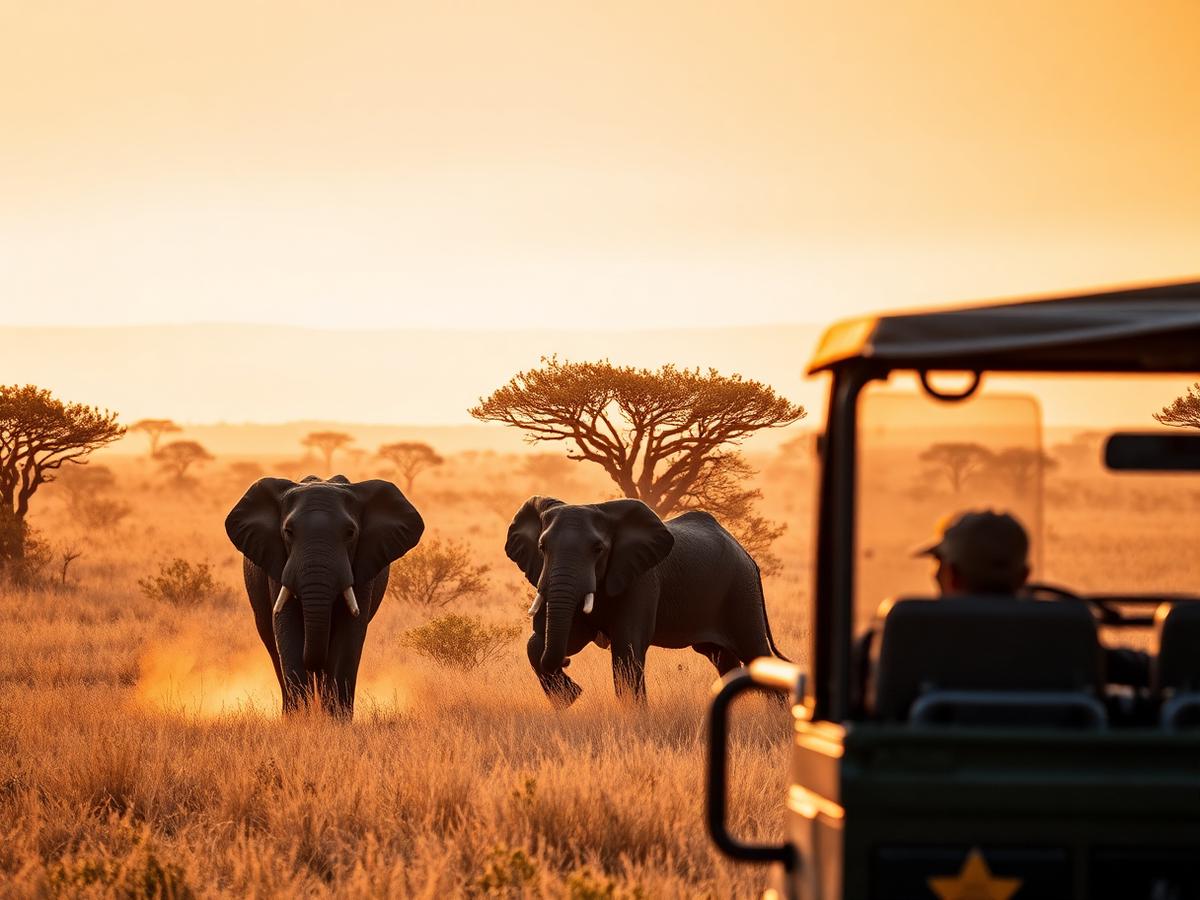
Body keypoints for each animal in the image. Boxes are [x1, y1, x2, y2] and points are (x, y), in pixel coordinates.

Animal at [224, 475, 424, 717]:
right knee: (273, 646)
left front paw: (336, 720)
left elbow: (349, 634)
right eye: (288, 532)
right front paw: (299, 719)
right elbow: (287, 628)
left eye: (350, 533)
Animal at [506, 496, 788, 706]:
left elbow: (627, 648)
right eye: (542, 548)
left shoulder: (642, 580)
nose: (566, 662)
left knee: (755, 651)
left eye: (598, 549)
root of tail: (747, 555)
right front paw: (570, 697)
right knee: (722, 657)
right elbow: (542, 643)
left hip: (741, 590)